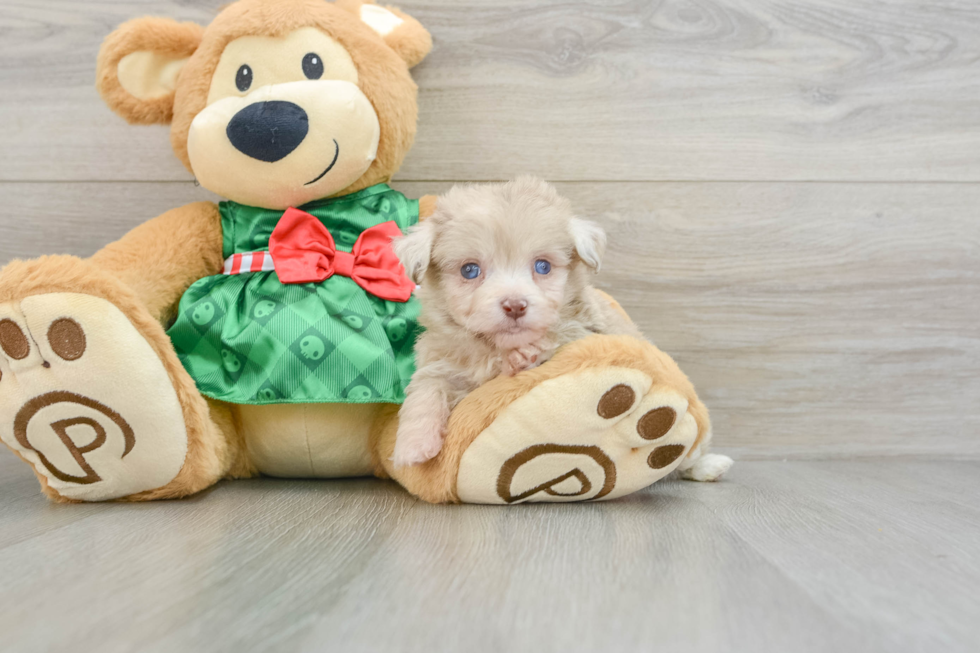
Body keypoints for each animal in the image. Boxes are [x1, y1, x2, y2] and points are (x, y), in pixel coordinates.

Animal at [390, 176, 644, 466]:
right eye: (469, 270)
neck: (496, 349)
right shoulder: (443, 359)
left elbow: (555, 338)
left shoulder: (583, 330)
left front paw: (527, 354)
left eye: (543, 266)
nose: (514, 306)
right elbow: (426, 385)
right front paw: (413, 445)